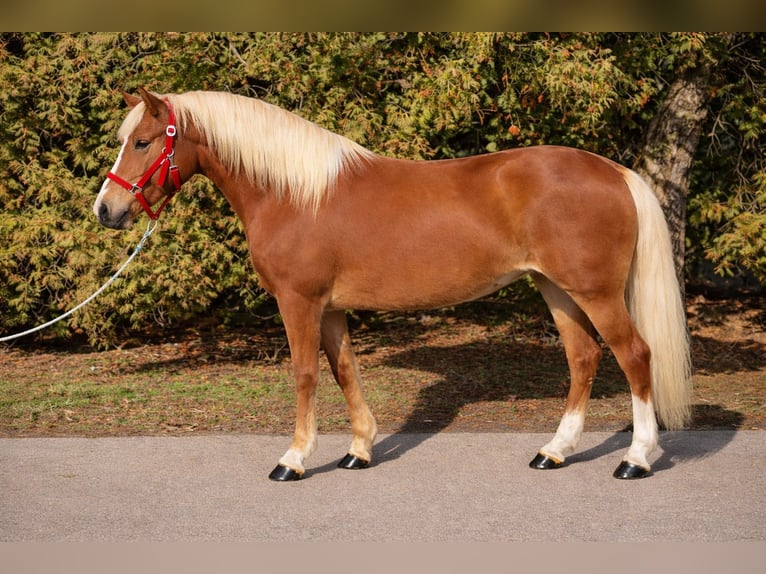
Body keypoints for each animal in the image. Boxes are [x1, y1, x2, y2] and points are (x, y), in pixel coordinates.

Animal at [94, 88, 692, 481]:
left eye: (143, 142)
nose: (106, 209)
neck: (294, 193)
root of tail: (615, 172)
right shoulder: (331, 308)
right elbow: (345, 371)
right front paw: (358, 451)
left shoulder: (299, 302)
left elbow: (306, 374)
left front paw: (294, 459)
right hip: (557, 290)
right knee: (583, 358)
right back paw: (554, 451)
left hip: (596, 294)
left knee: (636, 356)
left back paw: (635, 459)